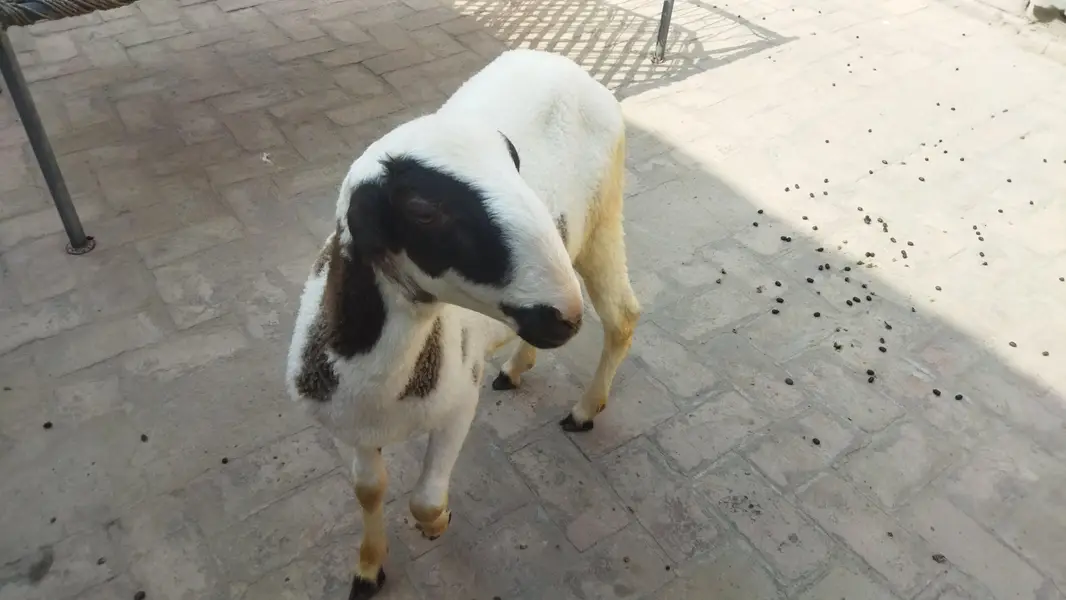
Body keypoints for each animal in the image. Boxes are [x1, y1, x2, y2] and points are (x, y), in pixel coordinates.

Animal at [285, 48, 640, 600]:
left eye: (515, 161)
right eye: (422, 210)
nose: (562, 316)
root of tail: (560, 61)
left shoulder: (457, 405)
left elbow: (424, 499)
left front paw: (437, 524)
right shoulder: (350, 426)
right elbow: (369, 490)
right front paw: (368, 568)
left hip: (604, 215)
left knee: (623, 316)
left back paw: (584, 411)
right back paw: (516, 367)